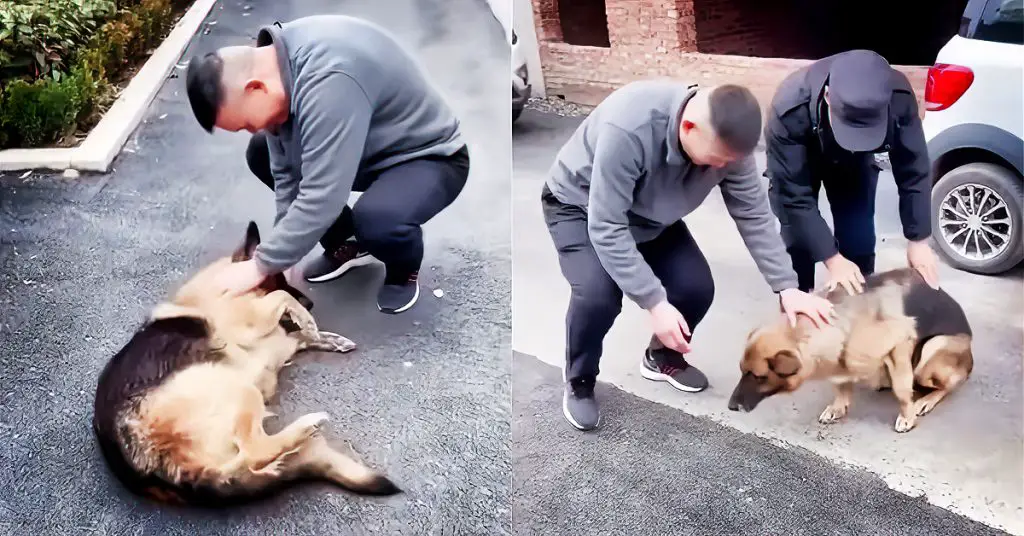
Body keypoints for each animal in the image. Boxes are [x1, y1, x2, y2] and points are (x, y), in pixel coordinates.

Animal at [92, 220, 401, 506]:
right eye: (276, 279)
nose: (311, 303)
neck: (224, 288)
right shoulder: (255, 321)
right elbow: (283, 300)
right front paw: (308, 320)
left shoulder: (274, 342)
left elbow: (296, 334)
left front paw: (325, 336)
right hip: (237, 388)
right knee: (254, 452)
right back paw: (305, 428)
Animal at [724, 266, 970, 434]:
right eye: (741, 371)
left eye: (758, 376)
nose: (731, 407)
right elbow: (840, 384)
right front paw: (838, 407)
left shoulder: (901, 343)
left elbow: (902, 390)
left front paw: (907, 416)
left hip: (931, 351)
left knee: (950, 385)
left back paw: (925, 400)